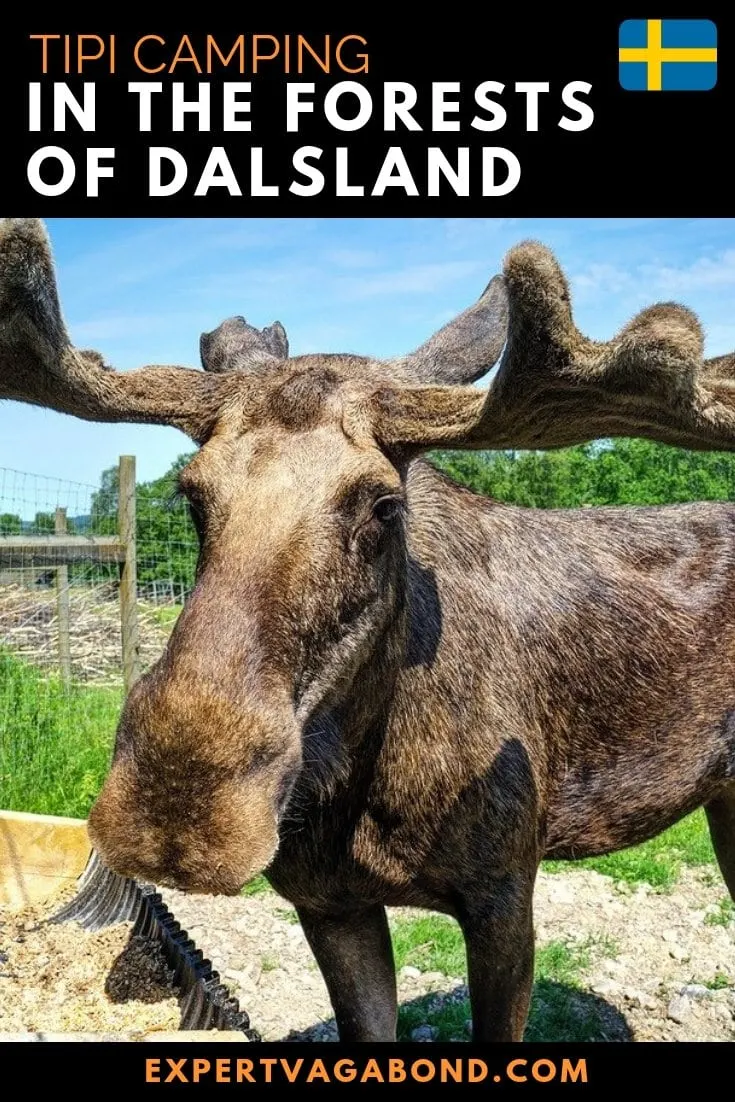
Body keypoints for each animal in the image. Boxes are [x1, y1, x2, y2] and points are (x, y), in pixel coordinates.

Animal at [1, 217, 735, 1040]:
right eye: (191, 493)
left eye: (385, 505)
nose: (179, 814)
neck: (368, 779)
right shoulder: (327, 901)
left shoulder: (505, 891)